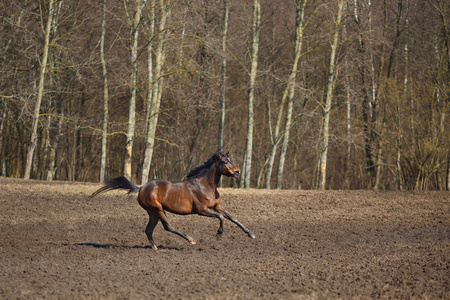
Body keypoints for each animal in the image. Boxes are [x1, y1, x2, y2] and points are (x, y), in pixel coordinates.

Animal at [89, 151, 255, 250]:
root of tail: (141, 188)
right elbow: (221, 218)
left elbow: (233, 218)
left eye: (230, 160)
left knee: (149, 230)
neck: (205, 185)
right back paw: (190, 239)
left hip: (153, 213)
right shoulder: (202, 210)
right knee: (167, 227)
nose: (238, 171)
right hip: (158, 210)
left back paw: (155, 248)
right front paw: (219, 234)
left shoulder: (217, 206)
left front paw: (251, 234)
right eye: (225, 162)